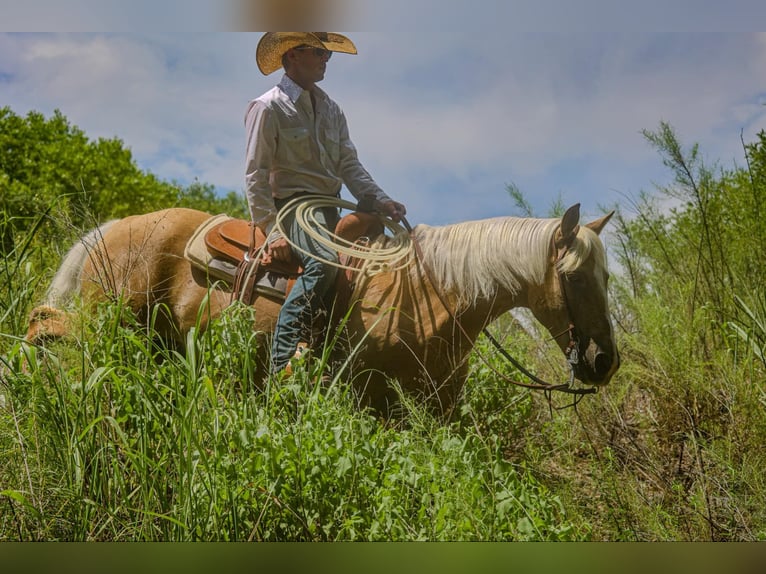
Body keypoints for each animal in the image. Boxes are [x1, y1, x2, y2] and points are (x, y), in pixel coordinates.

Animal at [27, 205, 620, 416]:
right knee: (45, 324)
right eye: (573, 277)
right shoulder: (365, 393)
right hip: (106, 323)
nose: (605, 361)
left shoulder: (437, 404)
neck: (433, 294)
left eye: (608, 278)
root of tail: (115, 227)